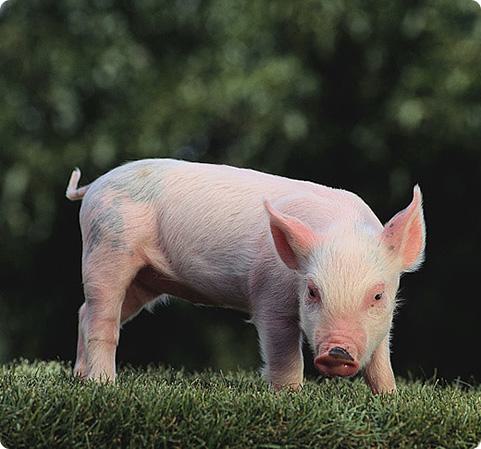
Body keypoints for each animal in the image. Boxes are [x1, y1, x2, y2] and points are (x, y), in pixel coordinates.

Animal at [66, 159, 425, 393]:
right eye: (312, 291)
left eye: (378, 295)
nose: (337, 351)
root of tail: (95, 185)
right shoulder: (269, 295)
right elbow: (285, 356)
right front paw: (291, 398)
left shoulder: (384, 323)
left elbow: (381, 360)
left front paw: (390, 398)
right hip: (106, 246)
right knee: (101, 317)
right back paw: (103, 384)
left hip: (145, 279)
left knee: (85, 311)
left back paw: (80, 377)